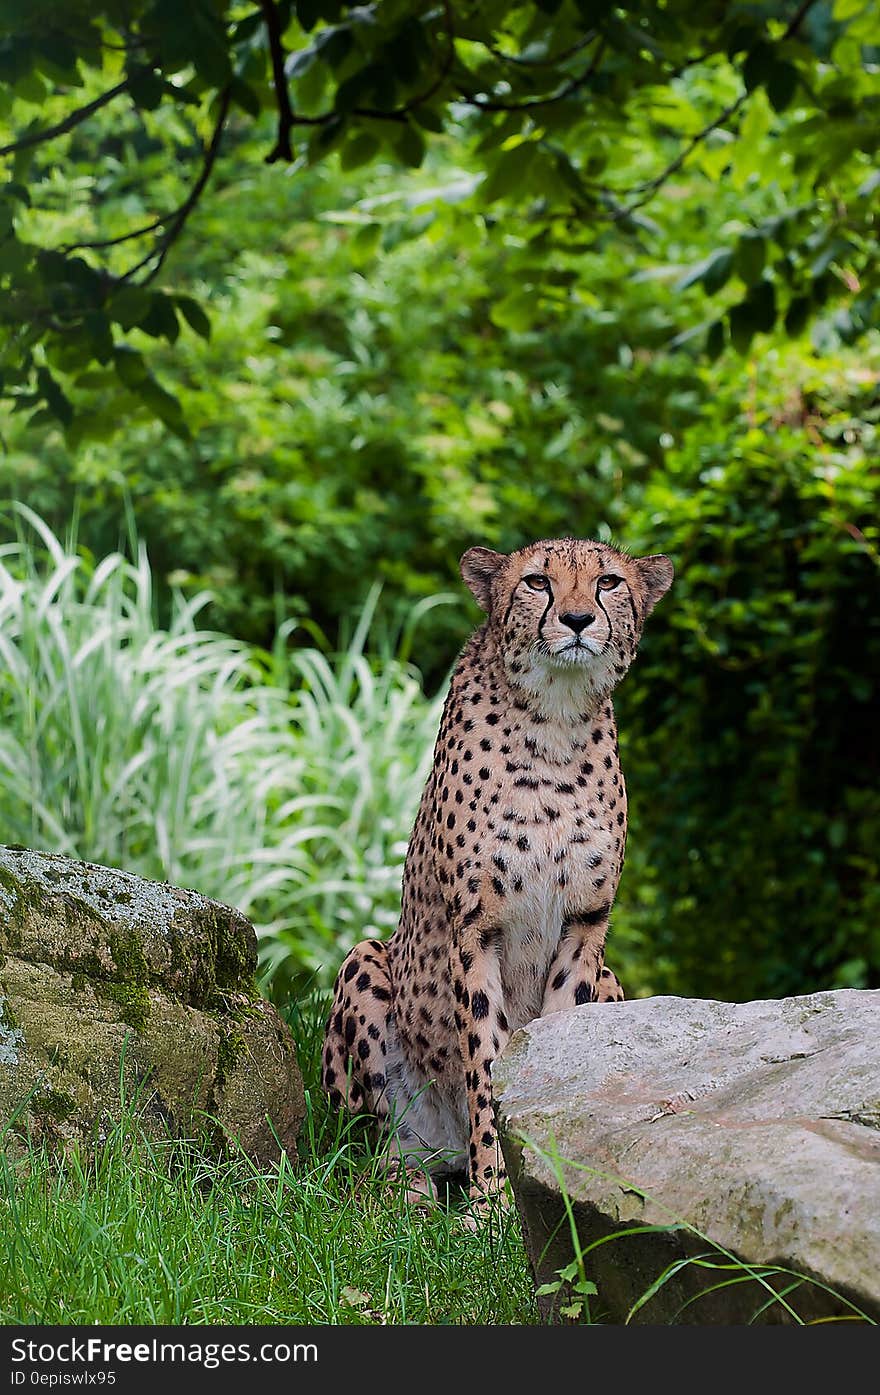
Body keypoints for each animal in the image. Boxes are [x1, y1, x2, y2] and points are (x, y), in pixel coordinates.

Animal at [323, 535, 674, 1210]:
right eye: (537, 582)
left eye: (608, 582)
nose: (576, 620)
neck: (556, 725)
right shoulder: (476, 928)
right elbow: (487, 1062)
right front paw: (494, 1203)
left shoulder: (585, 926)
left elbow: (556, 1052)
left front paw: (549, 1180)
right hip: (367, 966)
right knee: (372, 1150)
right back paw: (412, 1187)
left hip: (611, 979)